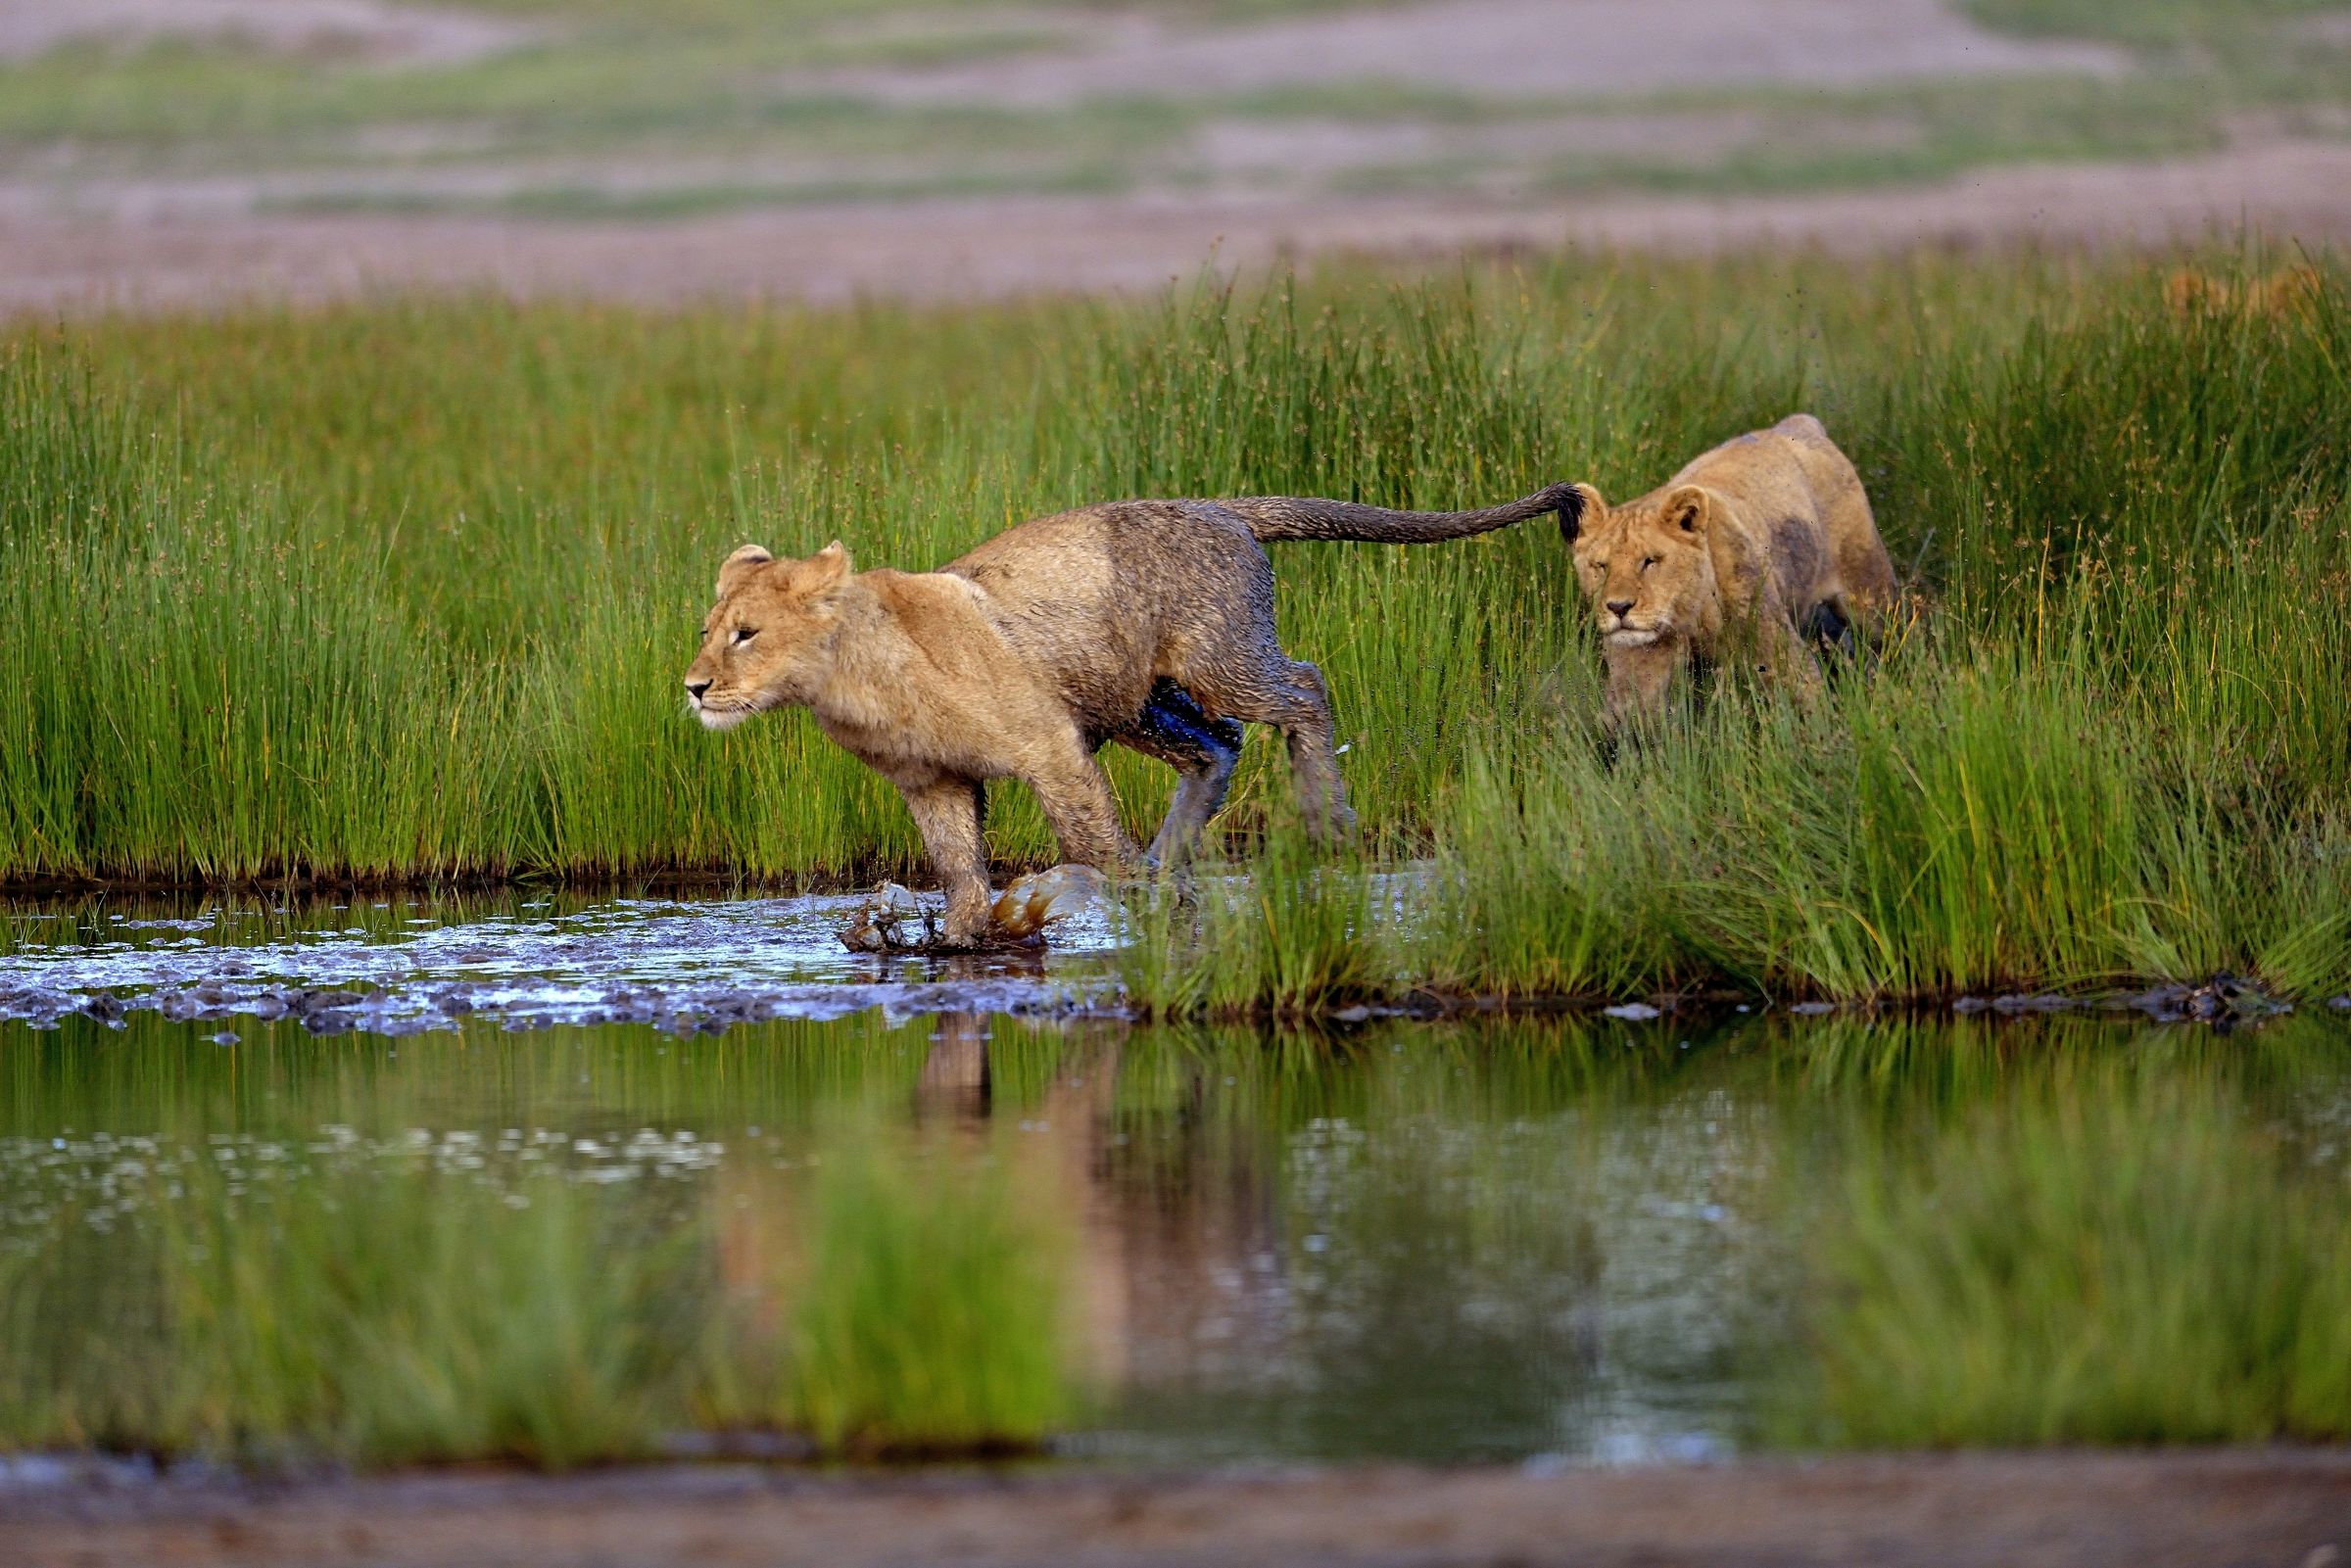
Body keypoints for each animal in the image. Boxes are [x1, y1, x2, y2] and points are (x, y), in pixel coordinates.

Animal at [685, 484, 1581, 947]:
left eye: (746, 633)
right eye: (706, 630)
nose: (693, 687)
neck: (852, 679)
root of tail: (1224, 506)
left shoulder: (1048, 743)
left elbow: (1089, 842)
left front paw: (1111, 898)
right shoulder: (933, 782)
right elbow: (959, 868)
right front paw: (961, 934)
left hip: (1219, 656)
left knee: (1303, 687)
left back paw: (1323, 814)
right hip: (1136, 701)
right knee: (1216, 748)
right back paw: (1174, 857)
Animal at [1564, 414, 1895, 726]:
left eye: (1650, 561)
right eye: (1600, 566)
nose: (1619, 607)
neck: (1690, 616)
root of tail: (1797, 424)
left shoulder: (1781, 656)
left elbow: (1808, 709)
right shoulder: (1640, 665)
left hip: (1869, 595)